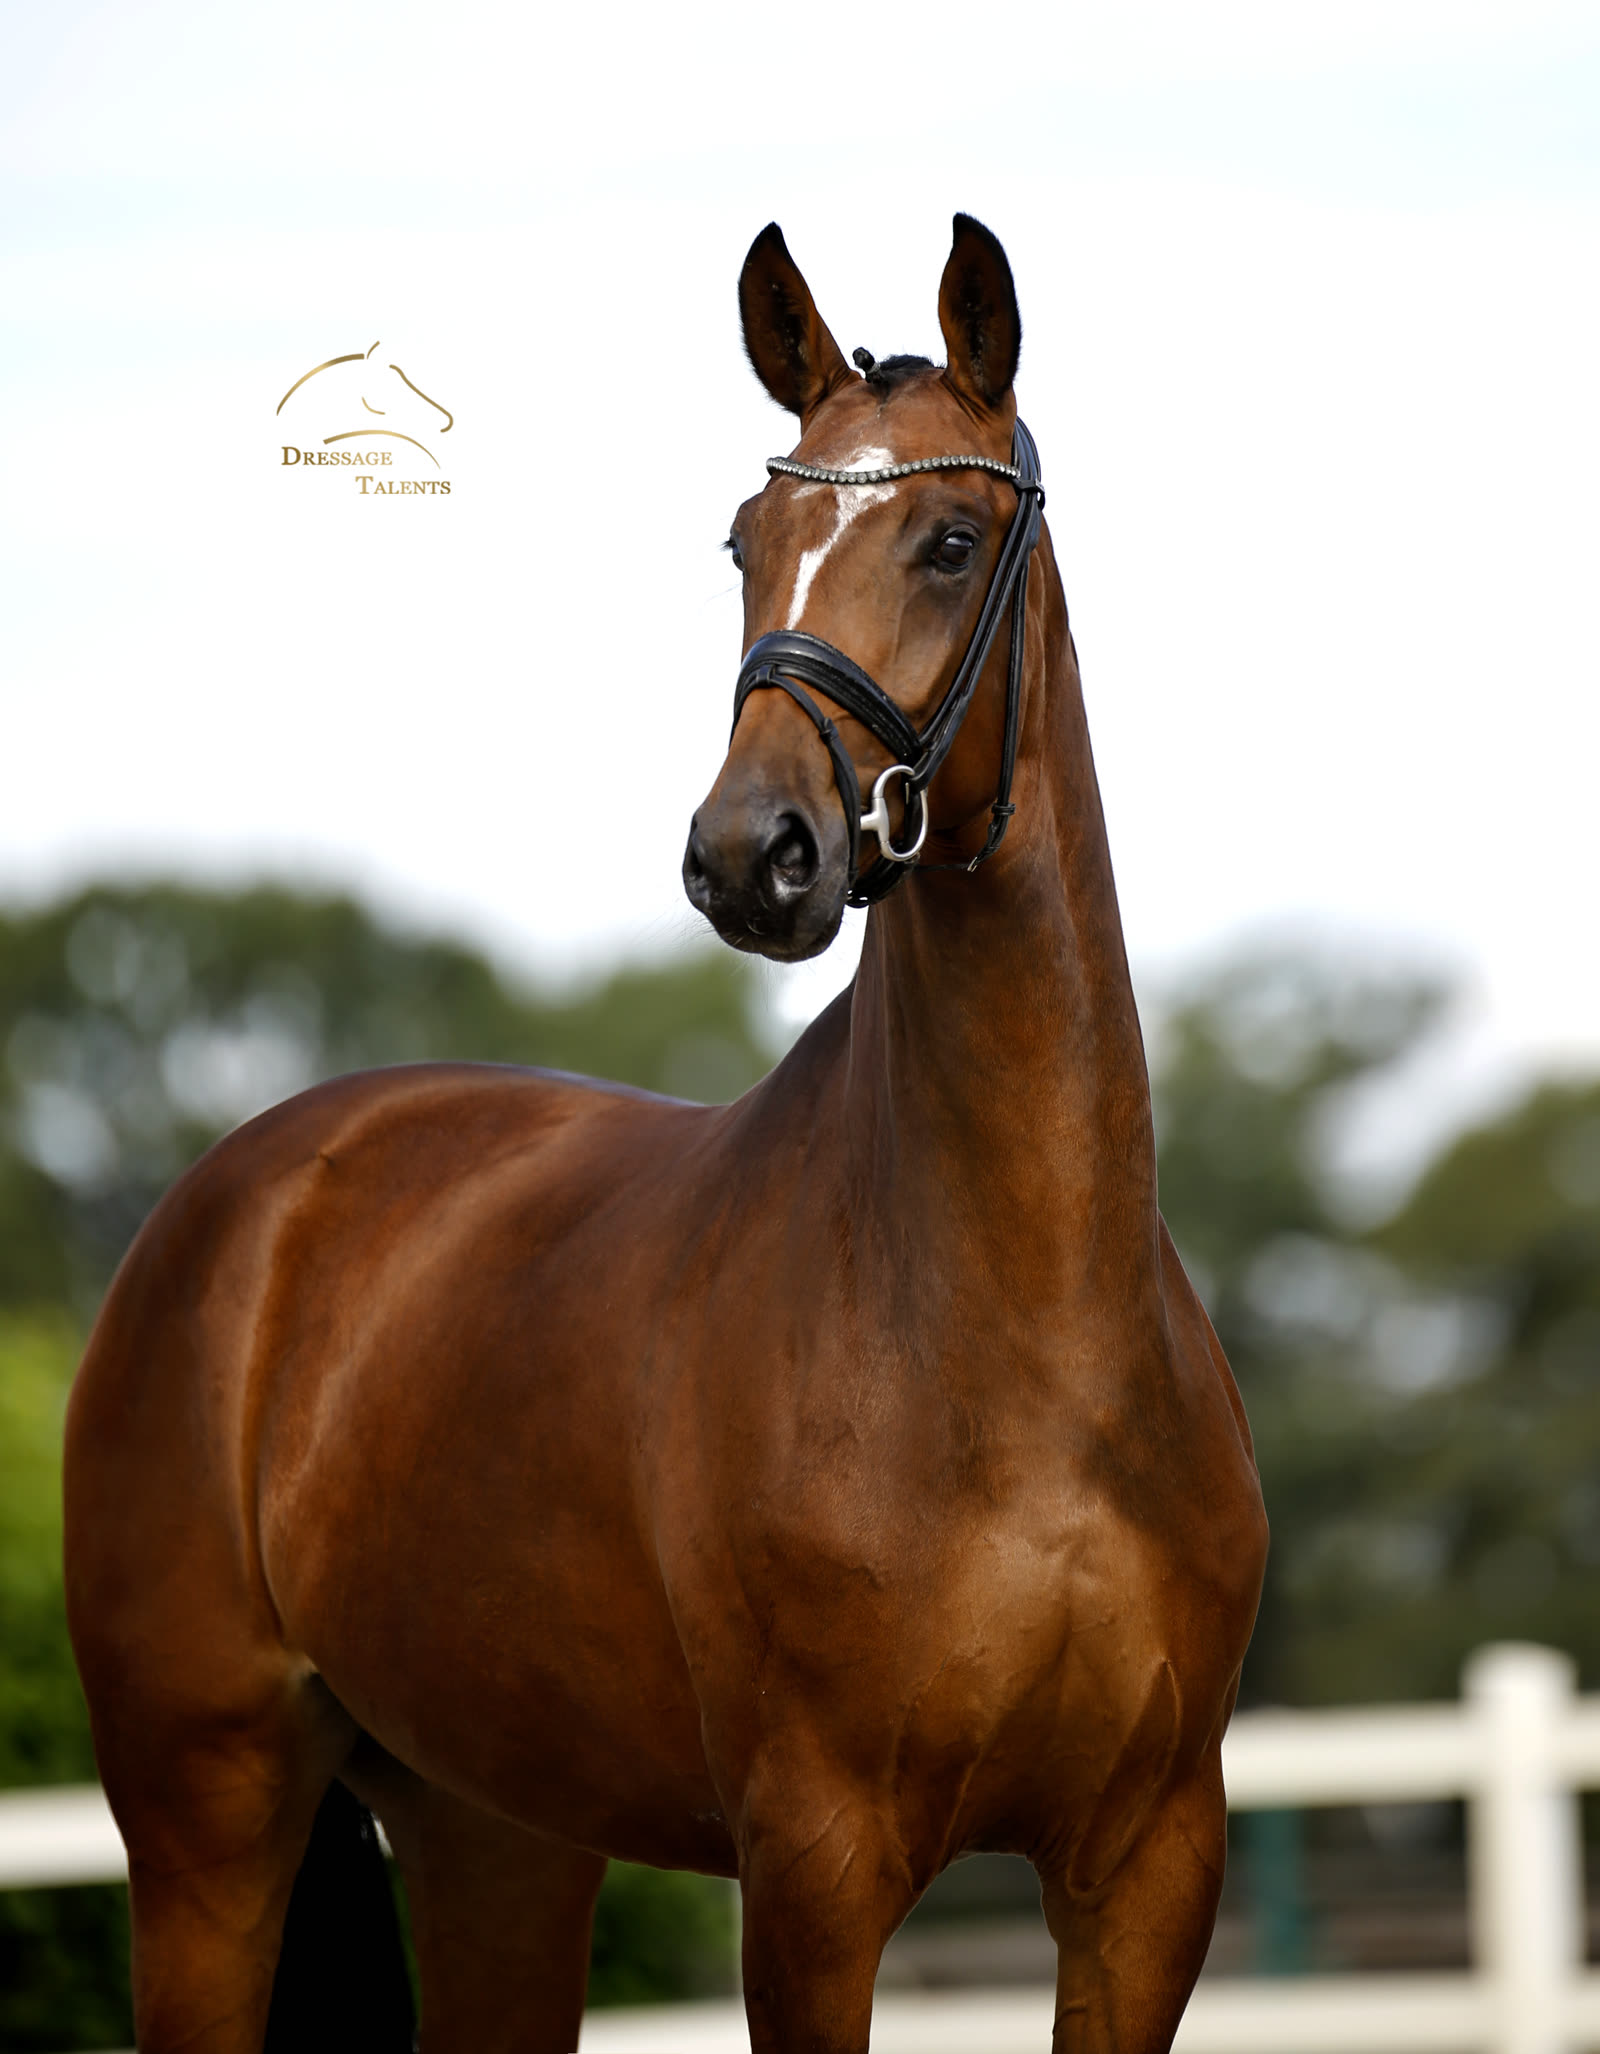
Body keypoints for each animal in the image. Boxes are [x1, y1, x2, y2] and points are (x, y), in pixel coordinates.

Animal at [64, 214, 1266, 2053]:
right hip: (208, 1816)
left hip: (493, 1828)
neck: (1019, 1334)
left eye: (949, 537)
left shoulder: (1148, 1871)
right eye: (746, 538)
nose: (750, 854)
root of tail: (246, 1198)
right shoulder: (815, 1869)